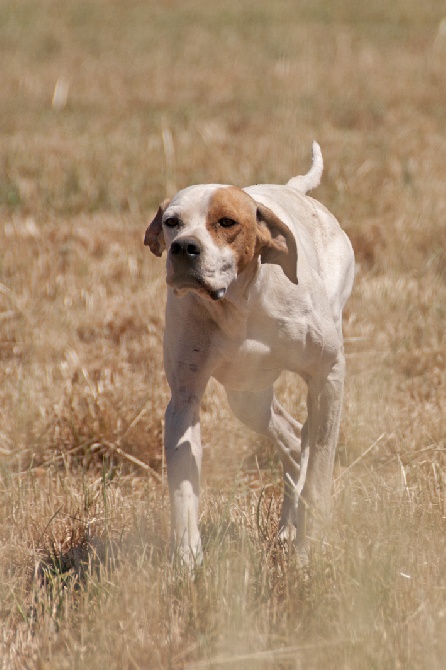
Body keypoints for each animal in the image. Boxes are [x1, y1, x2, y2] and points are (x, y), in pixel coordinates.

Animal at [145, 144, 354, 564]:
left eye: (226, 222)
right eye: (172, 222)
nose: (183, 247)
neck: (240, 303)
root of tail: (294, 189)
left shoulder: (328, 378)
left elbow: (319, 471)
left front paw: (311, 551)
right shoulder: (185, 400)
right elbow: (183, 487)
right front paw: (188, 560)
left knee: (305, 443)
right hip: (248, 397)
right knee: (293, 439)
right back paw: (287, 526)